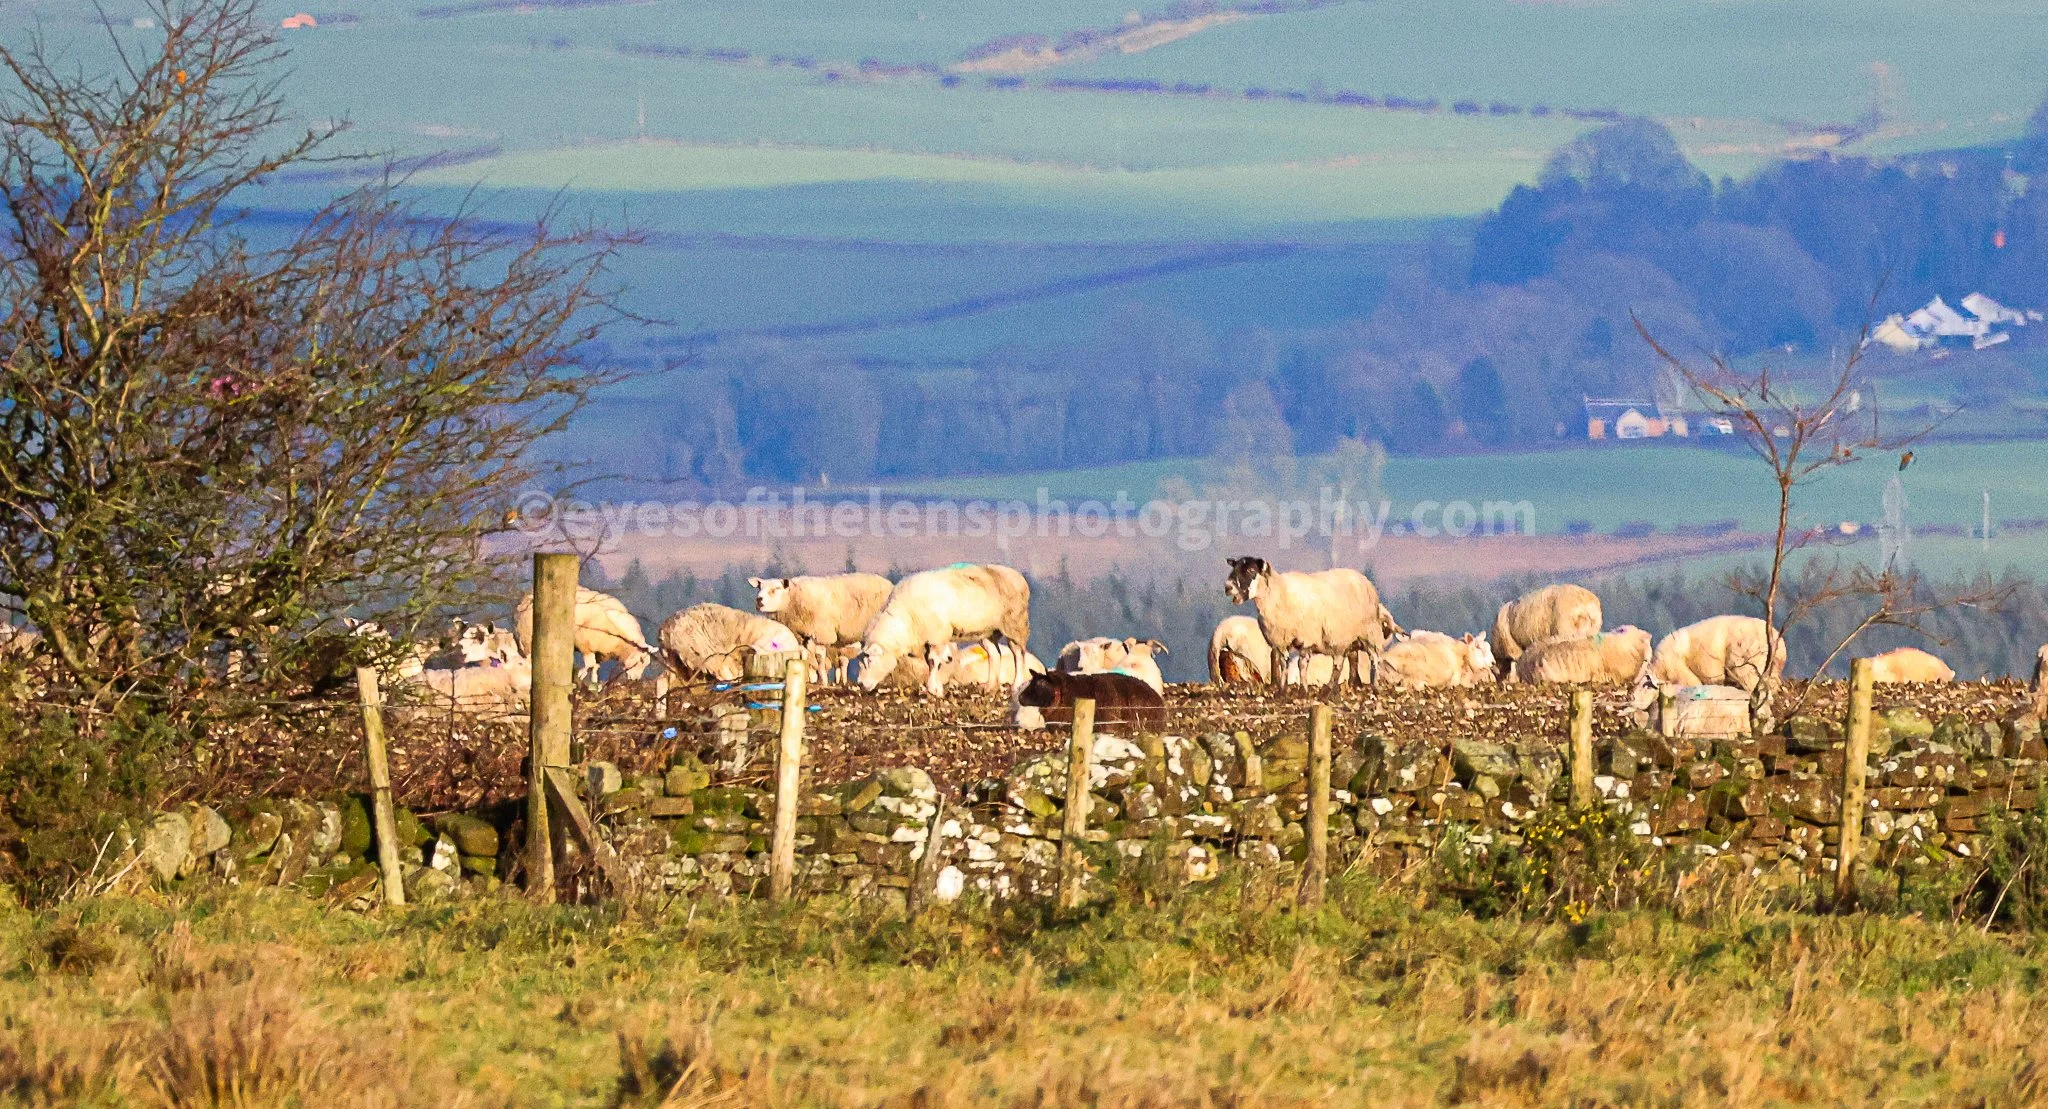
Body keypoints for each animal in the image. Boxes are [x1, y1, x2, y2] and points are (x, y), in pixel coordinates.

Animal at [514, 587, 654, 685]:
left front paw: (594, 683)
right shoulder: (585, 644)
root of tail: (527, 598)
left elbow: (595, 668)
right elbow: (589, 665)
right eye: (641, 660)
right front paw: (581, 676)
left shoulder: (599, 652)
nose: (635, 679)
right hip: (528, 638)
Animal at [750, 573, 893, 681]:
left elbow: (819, 658)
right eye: (759, 588)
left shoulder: (821, 635)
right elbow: (806, 656)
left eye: (776, 589)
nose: (759, 600)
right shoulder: (802, 636)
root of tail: (889, 583)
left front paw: (822, 681)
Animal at [854, 564, 1031, 695]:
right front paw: (937, 688)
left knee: (1017, 653)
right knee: (994, 654)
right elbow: (931, 662)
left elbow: (933, 661)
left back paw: (1016, 685)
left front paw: (933, 689)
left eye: (869, 660)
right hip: (987, 631)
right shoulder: (928, 639)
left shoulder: (937, 636)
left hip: (1015, 623)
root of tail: (1015, 574)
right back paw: (989, 686)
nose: (861, 684)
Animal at [1223, 557, 1388, 687]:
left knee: (1374, 658)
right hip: (1345, 638)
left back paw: (1374, 685)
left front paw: (1303, 690)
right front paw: (1282, 690)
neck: (1278, 593)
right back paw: (1337, 687)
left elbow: (1301, 665)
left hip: (1369, 633)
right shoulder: (1280, 640)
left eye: (1251, 570)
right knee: (1344, 662)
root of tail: (1364, 579)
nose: (1227, 587)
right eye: (1235, 568)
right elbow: (1283, 663)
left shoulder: (1306, 638)